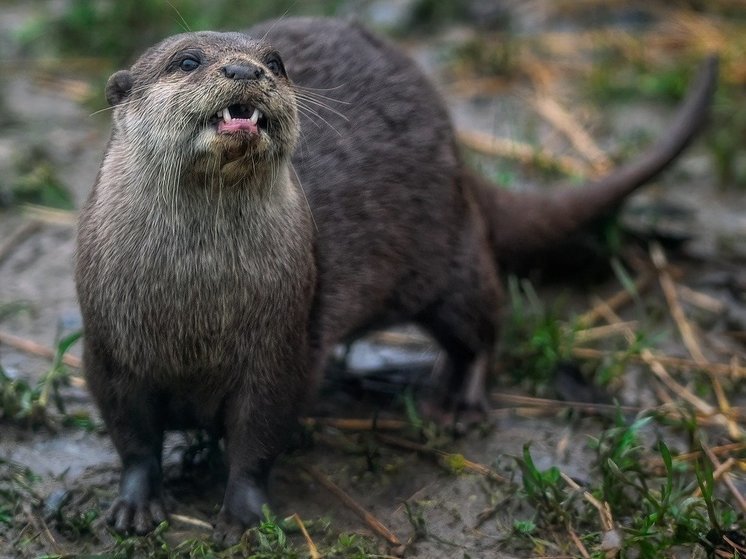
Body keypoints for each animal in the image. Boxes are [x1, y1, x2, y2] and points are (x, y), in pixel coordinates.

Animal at [74, 16, 716, 544]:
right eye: (187, 60)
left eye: (276, 61)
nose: (244, 69)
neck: (195, 309)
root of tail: (459, 154)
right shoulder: (108, 349)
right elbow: (132, 436)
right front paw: (135, 505)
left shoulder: (283, 345)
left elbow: (259, 435)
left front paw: (242, 513)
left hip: (449, 256)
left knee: (483, 323)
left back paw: (457, 403)